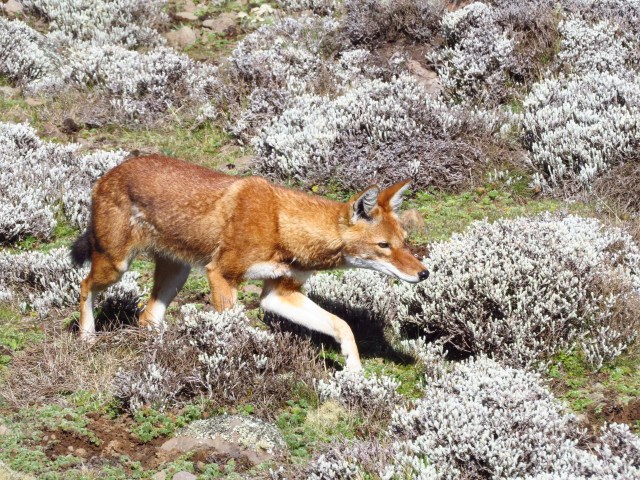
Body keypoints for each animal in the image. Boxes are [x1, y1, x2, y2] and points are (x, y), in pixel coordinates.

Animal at [70, 156, 428, 370]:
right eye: (384, 246)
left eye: (404, 241)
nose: (424, 273)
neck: (280, 225)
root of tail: (107, 174)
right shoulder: (221, 276)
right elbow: (235, 330)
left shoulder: (279, 294)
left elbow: (343, 325)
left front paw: (353, 371)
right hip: (117, 267)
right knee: (84, 285)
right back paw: (87, 338)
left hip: (176, 276)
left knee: (147, 317)